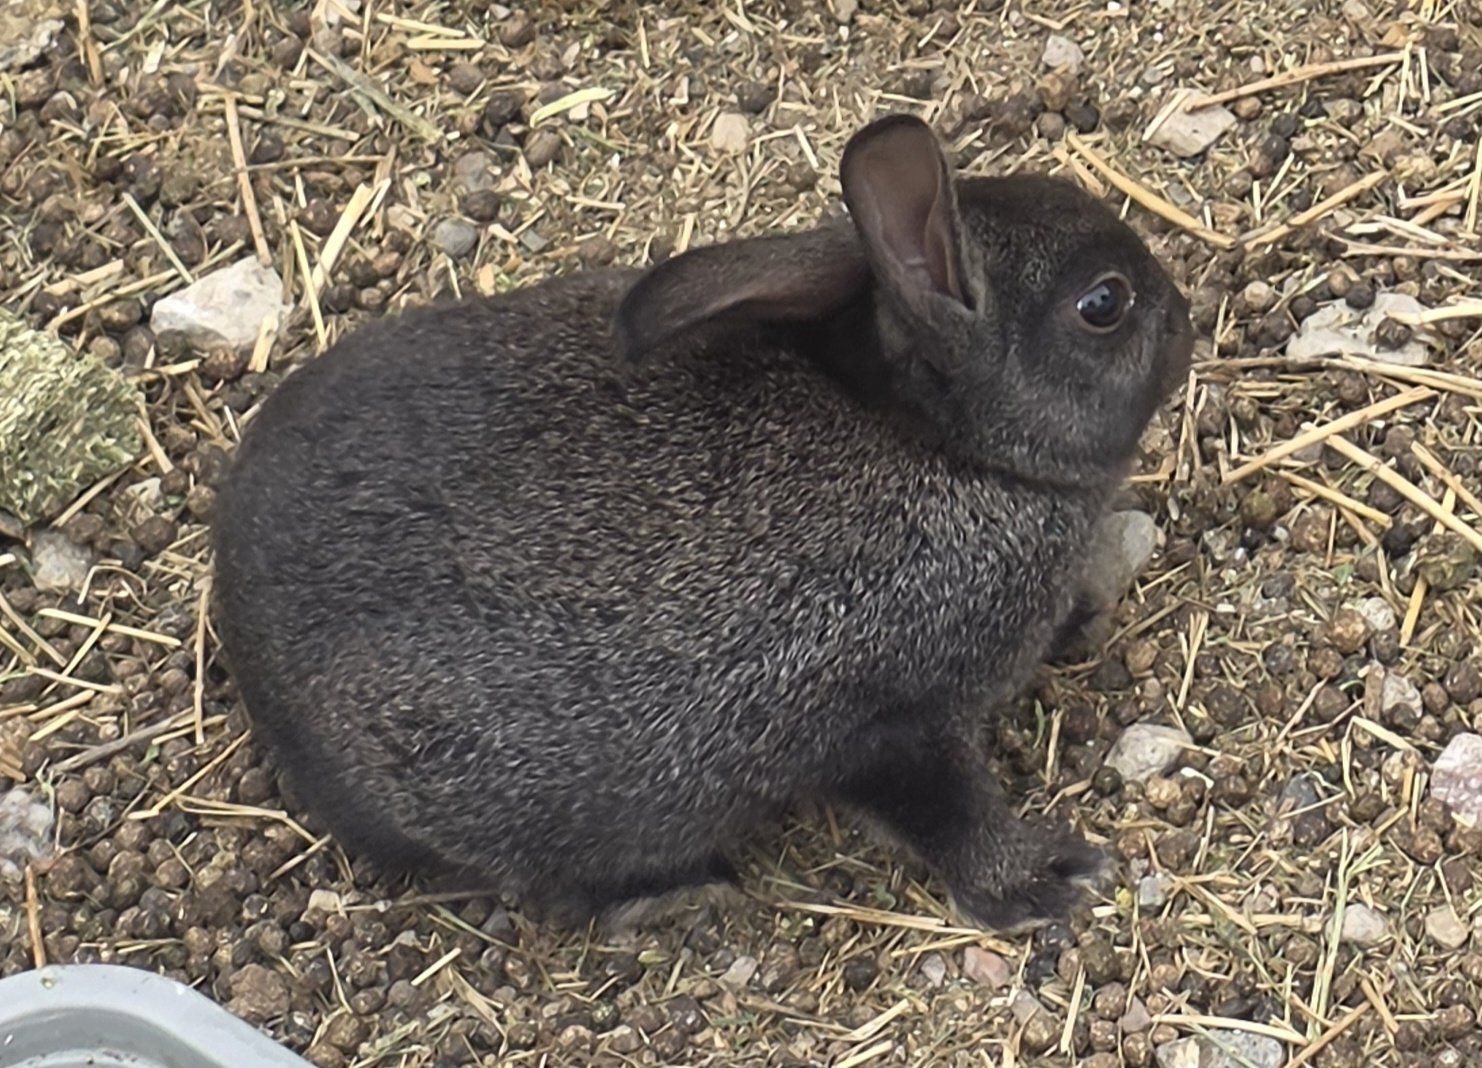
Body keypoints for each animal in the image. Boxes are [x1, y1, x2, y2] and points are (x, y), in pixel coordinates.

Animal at [211, 113, 1194, 932]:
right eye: (1103, 304)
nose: (1184, 314)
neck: (950, 450)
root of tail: (241, 641)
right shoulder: (891, 725)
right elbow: (948, 815)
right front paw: (1049, 877)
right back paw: (679, 895)